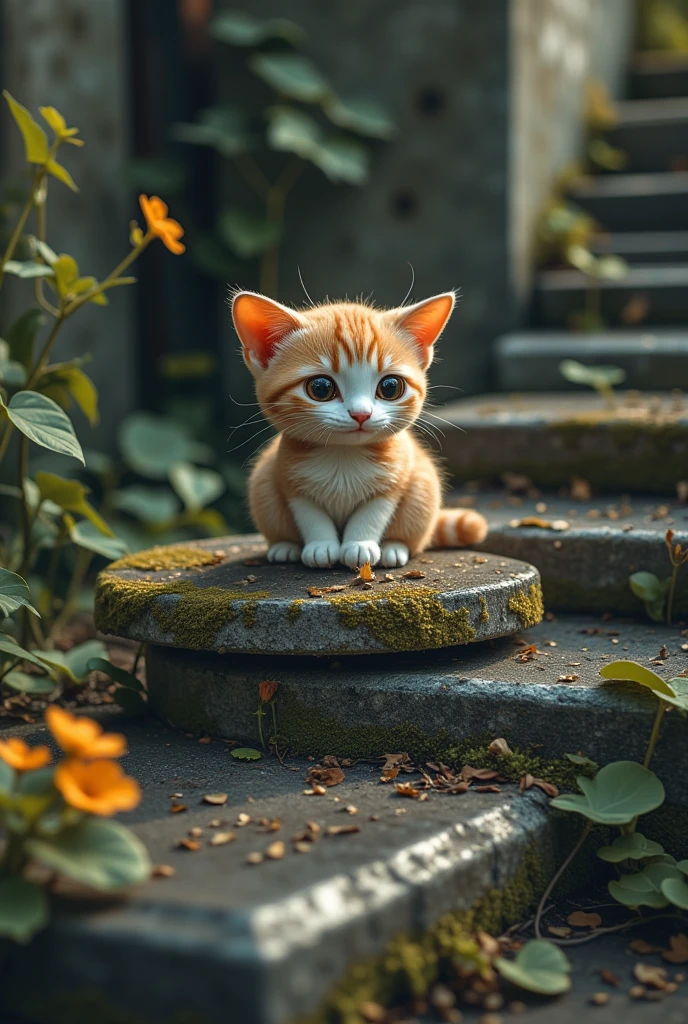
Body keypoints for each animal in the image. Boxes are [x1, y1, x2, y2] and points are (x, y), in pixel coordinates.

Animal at [232, 292, 489, 573]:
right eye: (320, 388)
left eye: (390, 387)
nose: (361, 414)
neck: (344, 455)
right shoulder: (288, 477)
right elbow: (309, 513)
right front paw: (321, 545)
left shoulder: (397, 477)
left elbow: (374, 512)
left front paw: (360, 545)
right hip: (263, 481)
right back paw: (285, 547)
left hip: (423, 486)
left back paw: (394, 548)